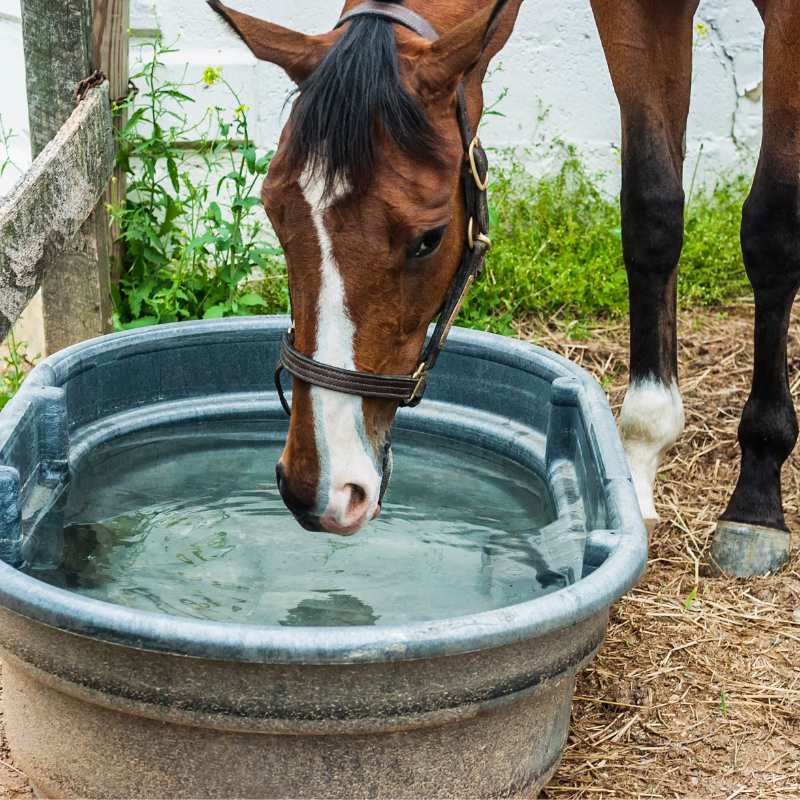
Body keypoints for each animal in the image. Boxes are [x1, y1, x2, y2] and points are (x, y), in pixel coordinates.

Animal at [208, 0, 800, 576]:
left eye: (428, 239)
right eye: (274, 211)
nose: (319, 490)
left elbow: (773, 229)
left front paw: (757, 496)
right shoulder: (635, 12)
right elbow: (652, 213)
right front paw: (637, 472)